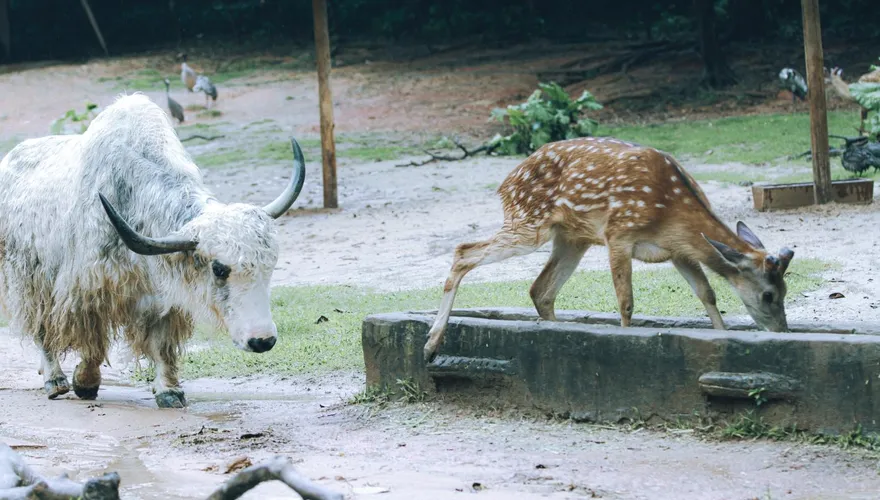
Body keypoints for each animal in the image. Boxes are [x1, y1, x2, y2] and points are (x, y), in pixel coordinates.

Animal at [423, 137, 795, 362]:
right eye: (768, 294)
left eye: (786, 291)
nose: (783, 331)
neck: (670, 211)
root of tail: (505, 183)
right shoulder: (619, 233)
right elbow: (626, 302)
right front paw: (625, 343)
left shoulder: (678, 250)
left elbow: (707, 294)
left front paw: (724, 338)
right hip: (530, 222)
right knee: (463, 250)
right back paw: (430, 345)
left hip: (572, 237)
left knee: (540, 290)